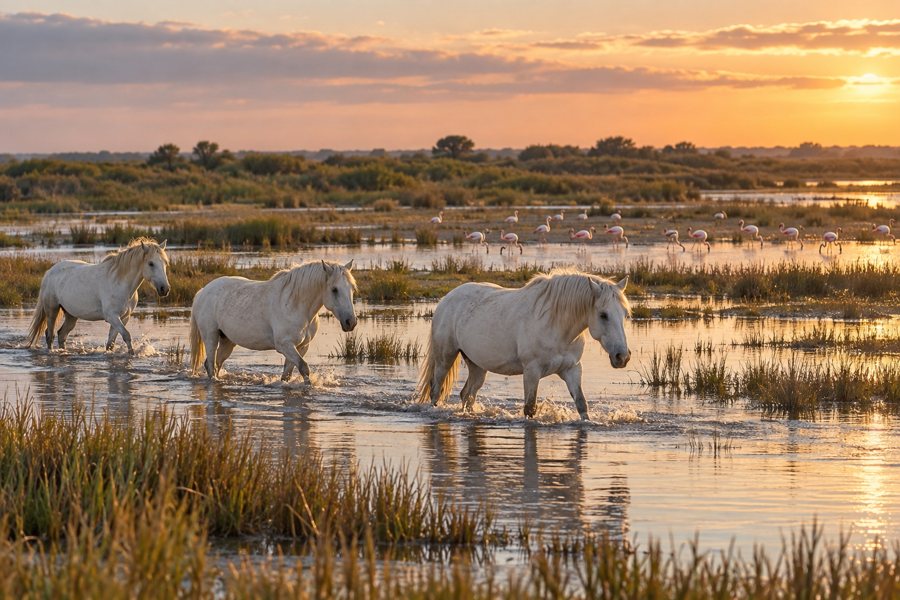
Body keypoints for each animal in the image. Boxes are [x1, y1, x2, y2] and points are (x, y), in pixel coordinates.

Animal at [26, 238, 170, 354]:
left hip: (71, 315)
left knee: (62, 335)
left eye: (165, 263)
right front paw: (131, 355)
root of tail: (49, 272)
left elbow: (111, 344)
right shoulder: (112, 317)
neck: (121, 283)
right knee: (49, 335)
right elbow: (126, 336)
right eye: (151, 263)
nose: (165, 289)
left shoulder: (124, 318)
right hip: (52, 310)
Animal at [190, 260, 357, 382]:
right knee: (210, 364)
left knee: (216, 364)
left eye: (352, 288)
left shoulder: (301, 346)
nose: (351, 322)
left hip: (227, 341)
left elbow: (287, 374)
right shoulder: (285, 345)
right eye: (334, 289)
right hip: (211, 337)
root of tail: (202, 291)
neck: (295, 305)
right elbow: (304, 368)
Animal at [416, 269, 631, 421]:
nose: (622, 357)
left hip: (477, 365)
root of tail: (447, 298)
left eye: (624, 314)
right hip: (445, 357)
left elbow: (581, 405)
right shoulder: (531, 371)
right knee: (436, 391)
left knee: (467, 395)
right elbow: (530, 408)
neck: (556, 325)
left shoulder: (572, 369)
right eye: (603, 315)